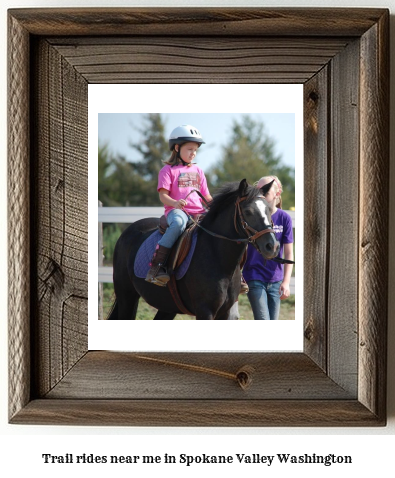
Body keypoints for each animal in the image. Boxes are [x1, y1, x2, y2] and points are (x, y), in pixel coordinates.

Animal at [108, 177, 280, 320]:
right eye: (248, 212)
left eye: (268, 210)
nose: (272, 246)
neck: (217, 257)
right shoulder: (205, 312)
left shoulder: (224, 313)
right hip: (127, 297)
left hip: (167, 306)